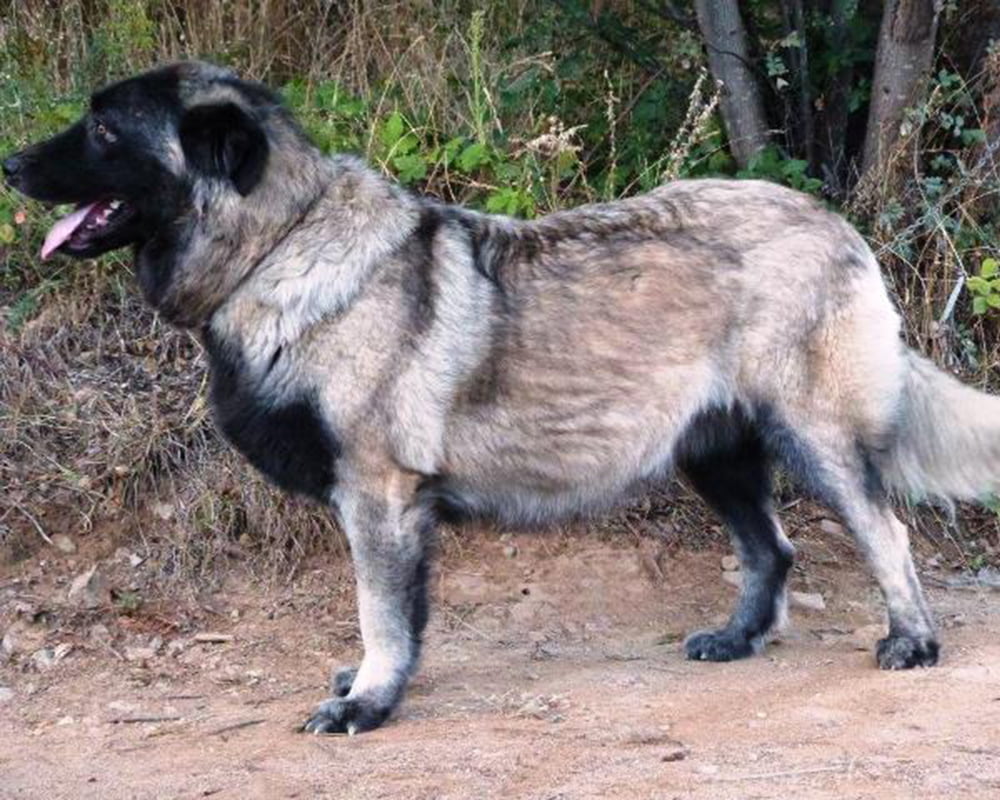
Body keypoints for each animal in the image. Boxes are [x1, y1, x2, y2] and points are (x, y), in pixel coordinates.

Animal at [7, 62, 1000, 736]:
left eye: (104, 130)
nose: (12, 162)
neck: (281, 244)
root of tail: (836, 223)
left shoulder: (377, 497)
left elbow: (380, 610)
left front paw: (370, 701)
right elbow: (401, 616)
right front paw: (377, 686)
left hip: (815, 439)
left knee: (886, 532)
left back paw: (912, 642)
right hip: (711, 455)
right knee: (773, 548)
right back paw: (737, 638)